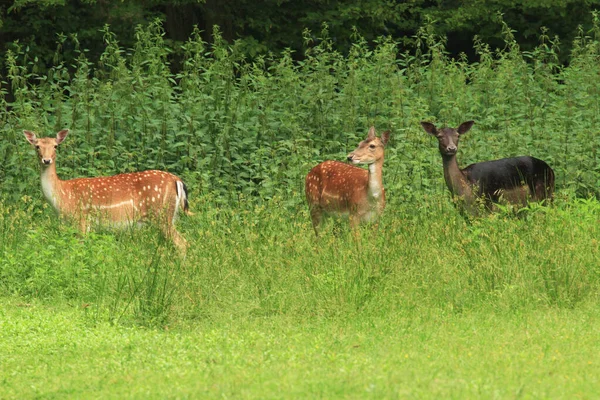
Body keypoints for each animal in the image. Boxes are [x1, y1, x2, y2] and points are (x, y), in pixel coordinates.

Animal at [23, 130, 191, 252]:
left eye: (55, 146)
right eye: (37, 146)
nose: (46, 160)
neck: (62, 196)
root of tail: (177, 180)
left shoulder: (82, 218)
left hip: (161, 213)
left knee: (183, 243)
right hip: (168, 215)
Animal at [420, 121, 556, 214]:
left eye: (458, 135)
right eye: (439, 136)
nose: (451, 148)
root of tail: (551, 170)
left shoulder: (487, 205)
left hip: (542, 194)